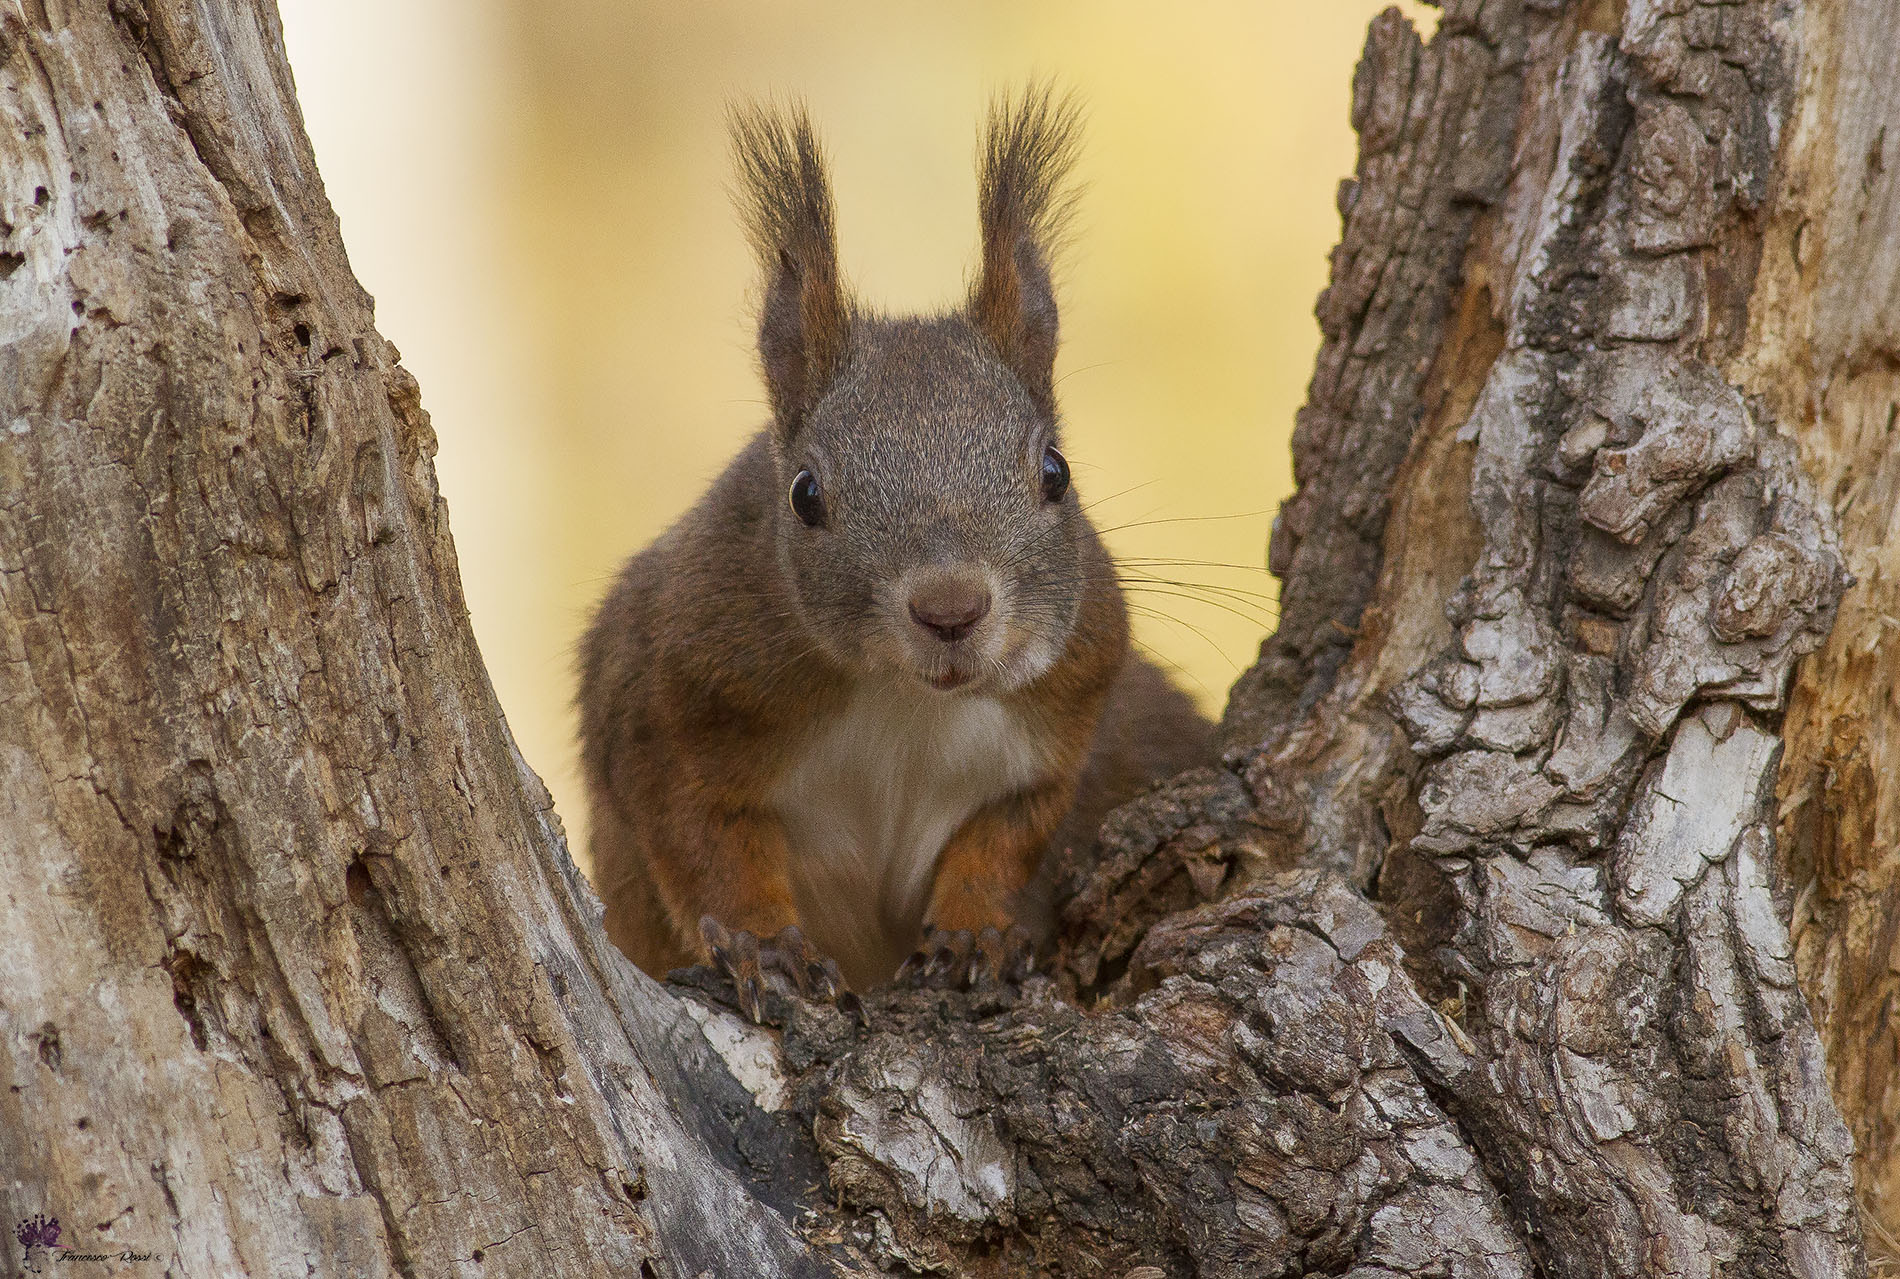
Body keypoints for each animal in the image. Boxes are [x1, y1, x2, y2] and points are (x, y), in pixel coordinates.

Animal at [577, 88, 1211, 1014]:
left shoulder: (1066, 709)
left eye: (1055, 472)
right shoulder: (666, 690)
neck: (905, 697)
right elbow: (702, 842)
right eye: (805, 494)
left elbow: (1008, 837)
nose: (951, 610)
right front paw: (762, 942)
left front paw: (975, 930)